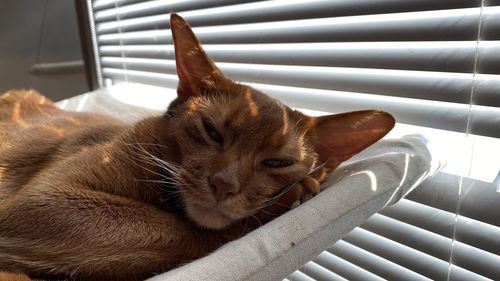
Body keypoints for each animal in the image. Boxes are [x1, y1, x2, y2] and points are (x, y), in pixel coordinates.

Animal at [0, 13, 394, 280]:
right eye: (211, 131)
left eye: (277, 163)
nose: (223, 185)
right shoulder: (44, 202)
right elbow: (187, 230)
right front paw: (288, 199)